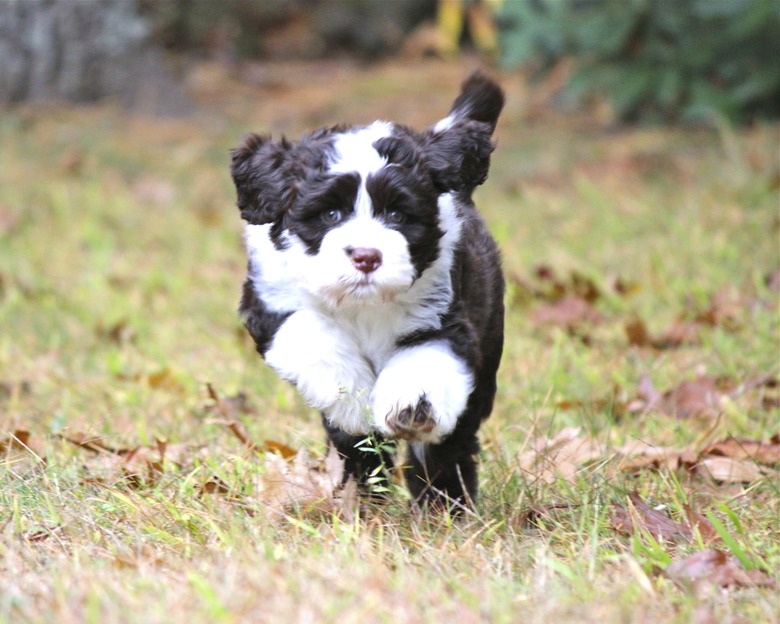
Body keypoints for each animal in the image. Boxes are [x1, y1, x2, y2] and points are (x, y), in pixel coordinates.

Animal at [230, 73, 506, 510]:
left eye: (396, 214)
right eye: (330, 213)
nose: (366, 256)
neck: (363, 304)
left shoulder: (445, 317)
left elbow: (425, 362)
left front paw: (412, 406)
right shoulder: (271, 303)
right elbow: (313, 336)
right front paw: (355, 400)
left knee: (451, 439)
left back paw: (443, 503)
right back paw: (362, 495)